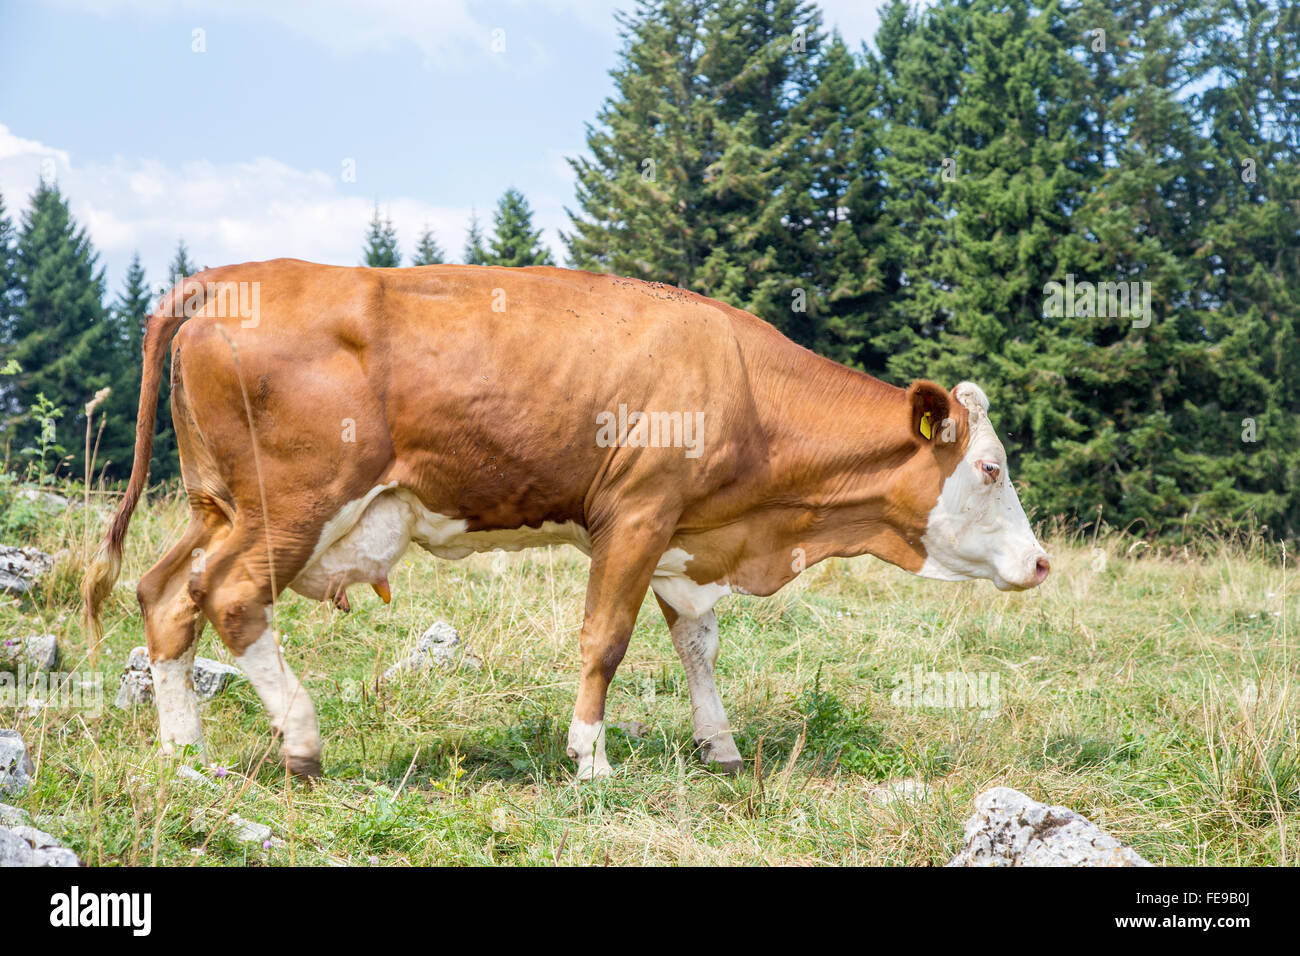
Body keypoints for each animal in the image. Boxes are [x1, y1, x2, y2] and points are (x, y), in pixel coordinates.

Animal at [83, 260, 1049, 780]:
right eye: (991, 468)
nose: (1042, 563)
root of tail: (232, 277)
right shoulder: (637, 513)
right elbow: (606, 640)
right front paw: (590, 756)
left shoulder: (686, 533)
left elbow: (698, 643)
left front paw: (720, 745)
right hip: (292, 505)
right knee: (232, 598)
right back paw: (303, 741)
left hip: (217, 505)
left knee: (166, 595)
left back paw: (185, 753)